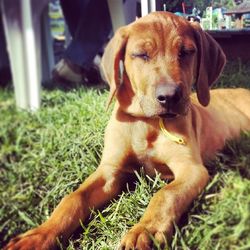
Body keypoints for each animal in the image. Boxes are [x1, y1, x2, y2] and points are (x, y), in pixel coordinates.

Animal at [4, 11, 250, 250]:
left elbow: (166, 194)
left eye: (186, 52)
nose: (169, 97)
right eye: (141, 55)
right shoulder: (109, 171)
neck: (147, 123)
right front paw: (38, 235)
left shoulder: (192, 169)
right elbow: (74, 197)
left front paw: (146, 231)